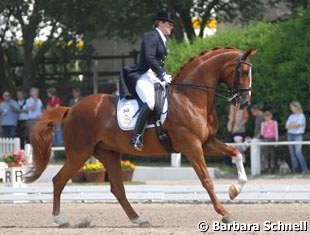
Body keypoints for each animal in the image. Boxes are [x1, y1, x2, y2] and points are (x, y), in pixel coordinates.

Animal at [25, 46, 256, 227]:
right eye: (244, 71)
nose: (245, 103)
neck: (190, 97)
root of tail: (71, 109)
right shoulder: (192, 146)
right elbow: (207, 180)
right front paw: (226, 214)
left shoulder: (206, 143)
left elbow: (236, 154)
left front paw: (235, 190)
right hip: (79, 153)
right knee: (58, 180)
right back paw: (60, 219)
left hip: (108, 153)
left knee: (117, 188)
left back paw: (138, 219)